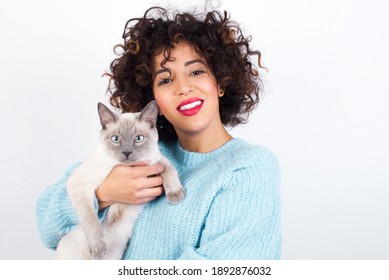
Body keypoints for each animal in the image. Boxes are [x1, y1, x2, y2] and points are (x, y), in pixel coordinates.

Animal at [54, 100, 185, 260]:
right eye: (116, 139)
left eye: (138, 139)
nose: (127, 153)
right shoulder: (80, 184)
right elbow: (91, 219)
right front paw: (98, 248)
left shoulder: (155, 161)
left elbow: (169, 168)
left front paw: (175, 195)